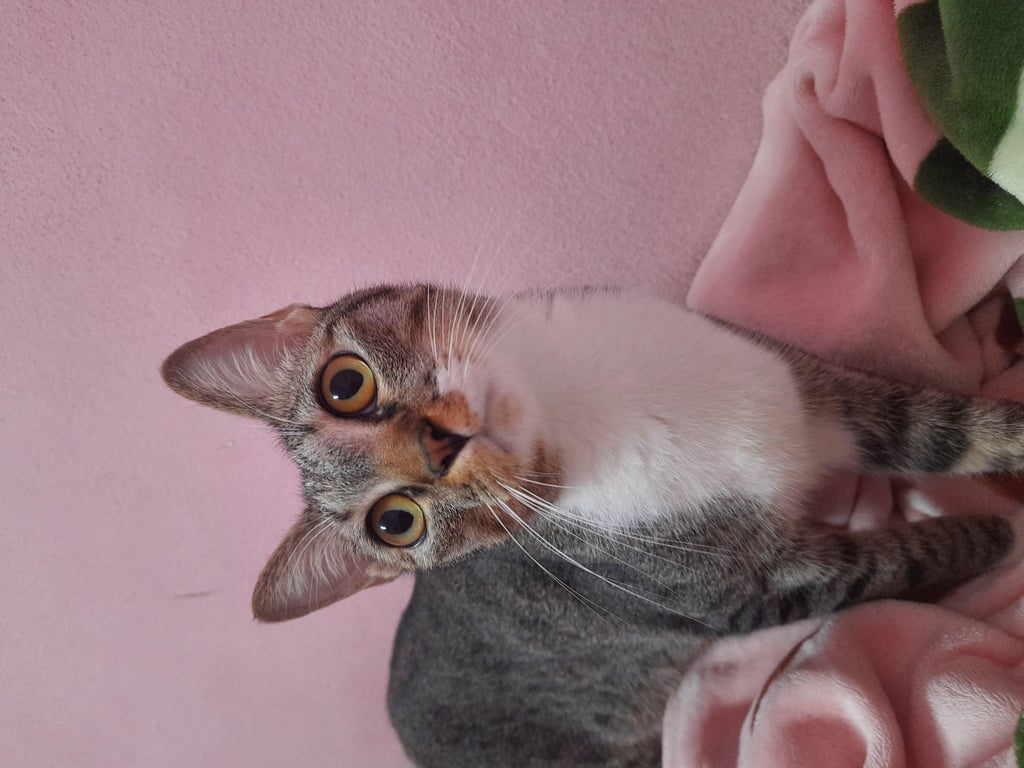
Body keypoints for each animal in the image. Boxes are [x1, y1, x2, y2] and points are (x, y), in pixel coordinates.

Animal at [162, 283, 1024, 767]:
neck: (581, 400)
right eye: (398, 522)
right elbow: (896, 561)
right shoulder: (741, 590)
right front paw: (998, 538)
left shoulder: (813, 390)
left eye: (345, 384)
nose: (437, 447)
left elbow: (945, 427)